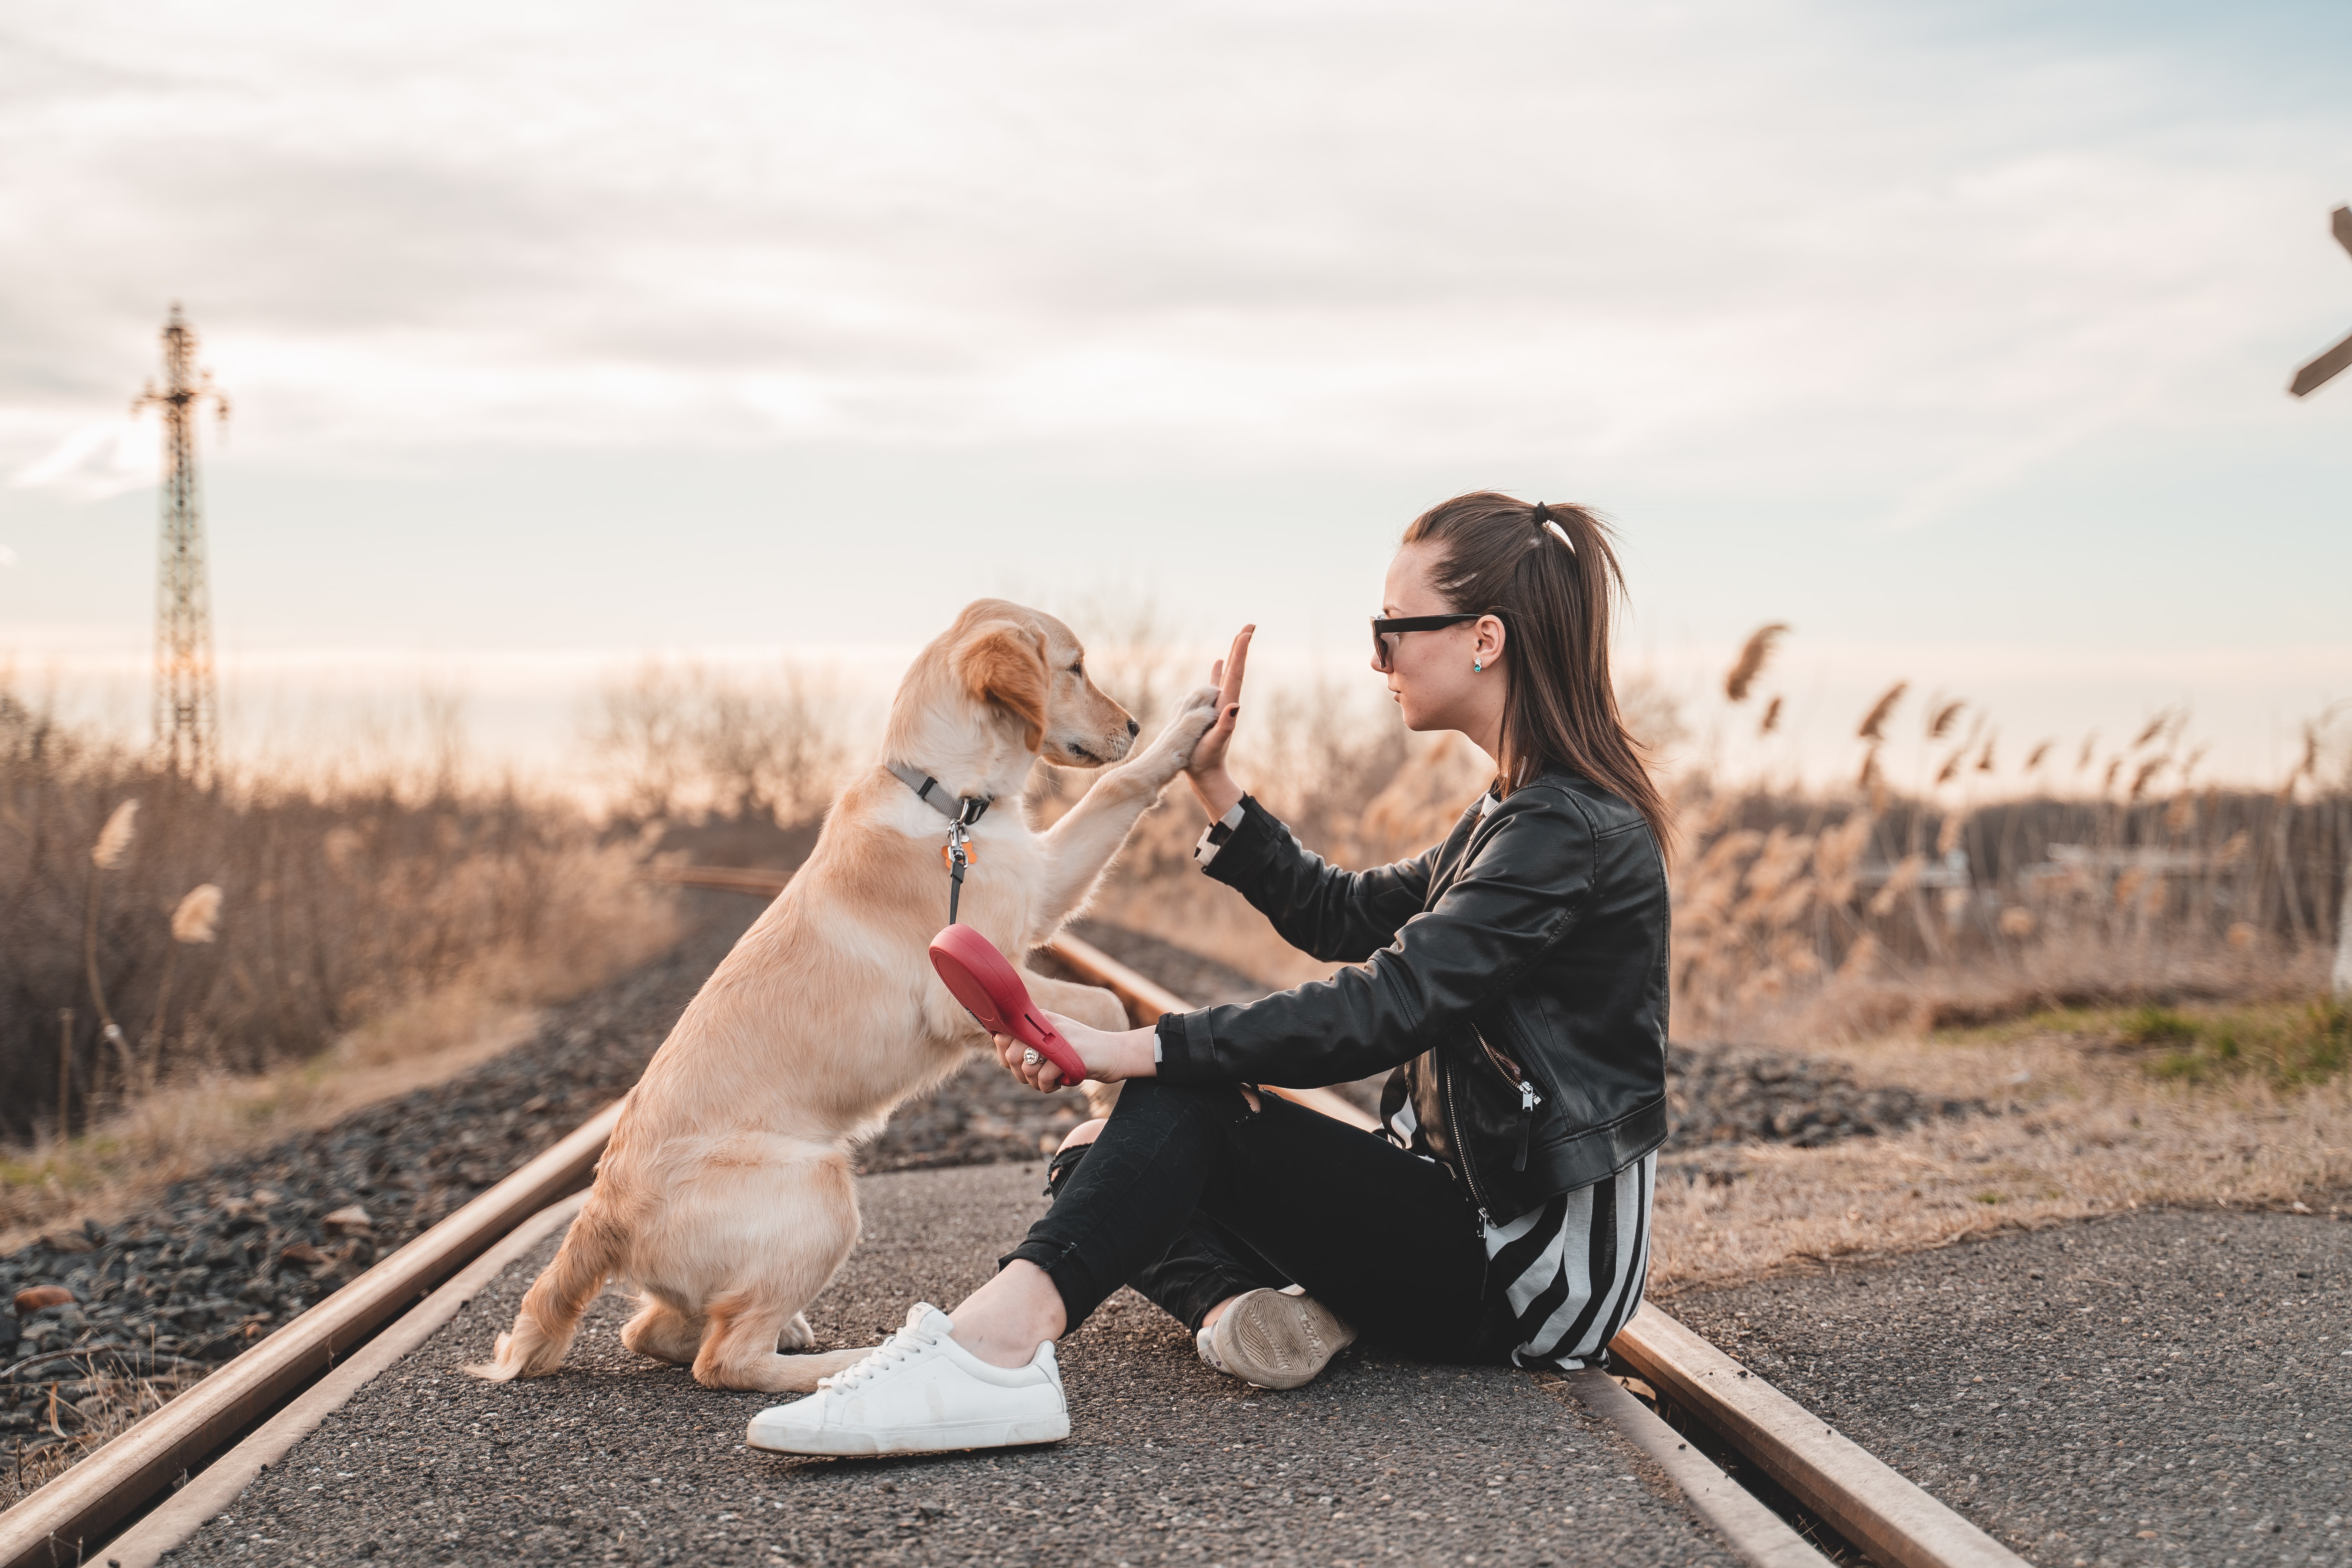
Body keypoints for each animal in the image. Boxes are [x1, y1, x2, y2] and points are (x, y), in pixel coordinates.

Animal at [470, 602, 1223, 1401]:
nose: (1135, 724)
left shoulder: (1040, 888)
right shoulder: (964, 984)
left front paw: (1189, 724)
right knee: (724, 1359)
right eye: (1075, 668)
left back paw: (792, 1333)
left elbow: (1118, 792)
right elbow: (1105, 1003)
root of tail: (600, 1214)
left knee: (652, 1331)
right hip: (822, 1188)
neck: (951, 803)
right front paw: (1105, 1099)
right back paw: (848, 1363)